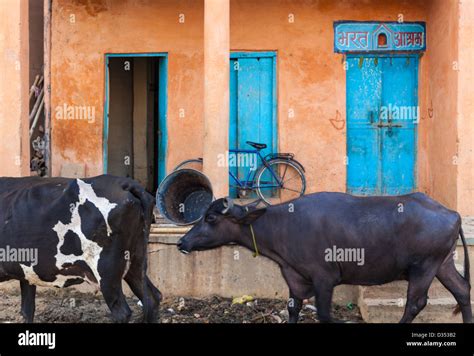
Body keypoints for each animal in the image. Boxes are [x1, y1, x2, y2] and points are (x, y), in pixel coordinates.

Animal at [0, 175, 161, 322]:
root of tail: (125, 183)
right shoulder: (26, 274)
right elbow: (27, 311)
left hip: (107, 271)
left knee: (122, 312)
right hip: (135, 261)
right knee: (152, 298)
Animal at [178, 193, 470, 324]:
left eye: (210, 218)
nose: (182, 242)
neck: (283, 225)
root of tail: (452, 212)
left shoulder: (325, 279)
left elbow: (325, 314)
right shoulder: (294, 278)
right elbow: (293, 309)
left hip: (424, 267)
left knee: (415, 303)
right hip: (443, 264)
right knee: (462, 290)